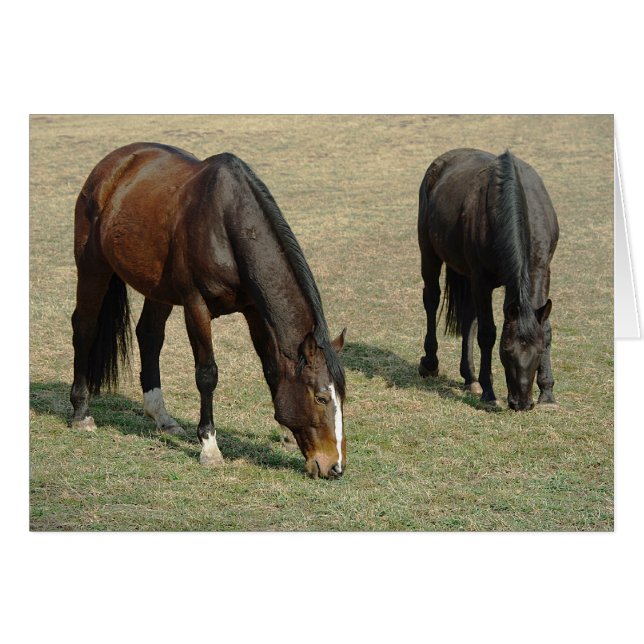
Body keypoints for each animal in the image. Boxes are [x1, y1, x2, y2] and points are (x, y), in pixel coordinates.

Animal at [70, 143, 347, 479]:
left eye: (343, 397)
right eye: (321, 397)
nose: (335, 466)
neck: (228, 224)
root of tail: (112, 164)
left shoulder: (254, 311)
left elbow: (271, 368)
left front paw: (286, 434)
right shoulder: (196, 307)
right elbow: (207, 374)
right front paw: (209, 448)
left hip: (157, 289)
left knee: (149, 336)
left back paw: (161, 416)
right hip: (92, 267)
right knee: (84, 328)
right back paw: (81, 412)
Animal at [417, 148, 559, 411]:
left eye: (537, 352)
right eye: (507, 351)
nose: (522, 403)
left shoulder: (542, 272)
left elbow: (545, 327)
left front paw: (547, 393)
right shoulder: (482, 281)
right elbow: (487, 333)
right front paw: (490, 394)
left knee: (467, 319)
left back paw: (470, 378)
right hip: (429, 253)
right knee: (432, 300)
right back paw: (430, 364)